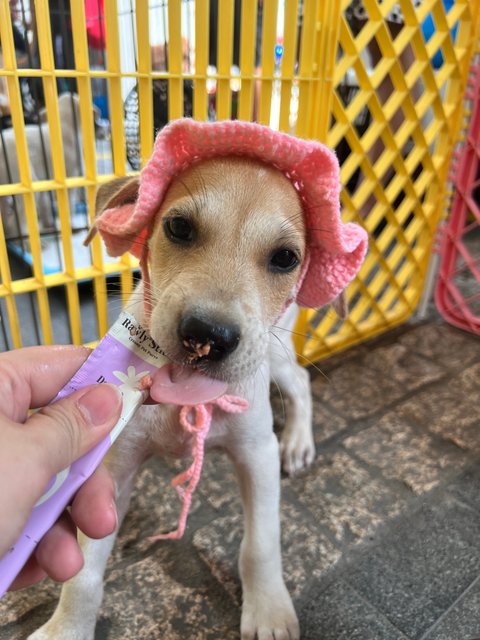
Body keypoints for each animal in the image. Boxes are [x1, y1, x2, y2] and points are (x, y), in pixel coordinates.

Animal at [29, 121, 368, 640]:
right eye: (178, 227)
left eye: (285, 258)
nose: (207, 336)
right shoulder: (112, 469)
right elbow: (83, 573)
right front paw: (66, 628)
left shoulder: (256, 453)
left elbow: (261, 544)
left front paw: (268, 610)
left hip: (272, 354)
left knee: (300, 383)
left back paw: (298, 442)